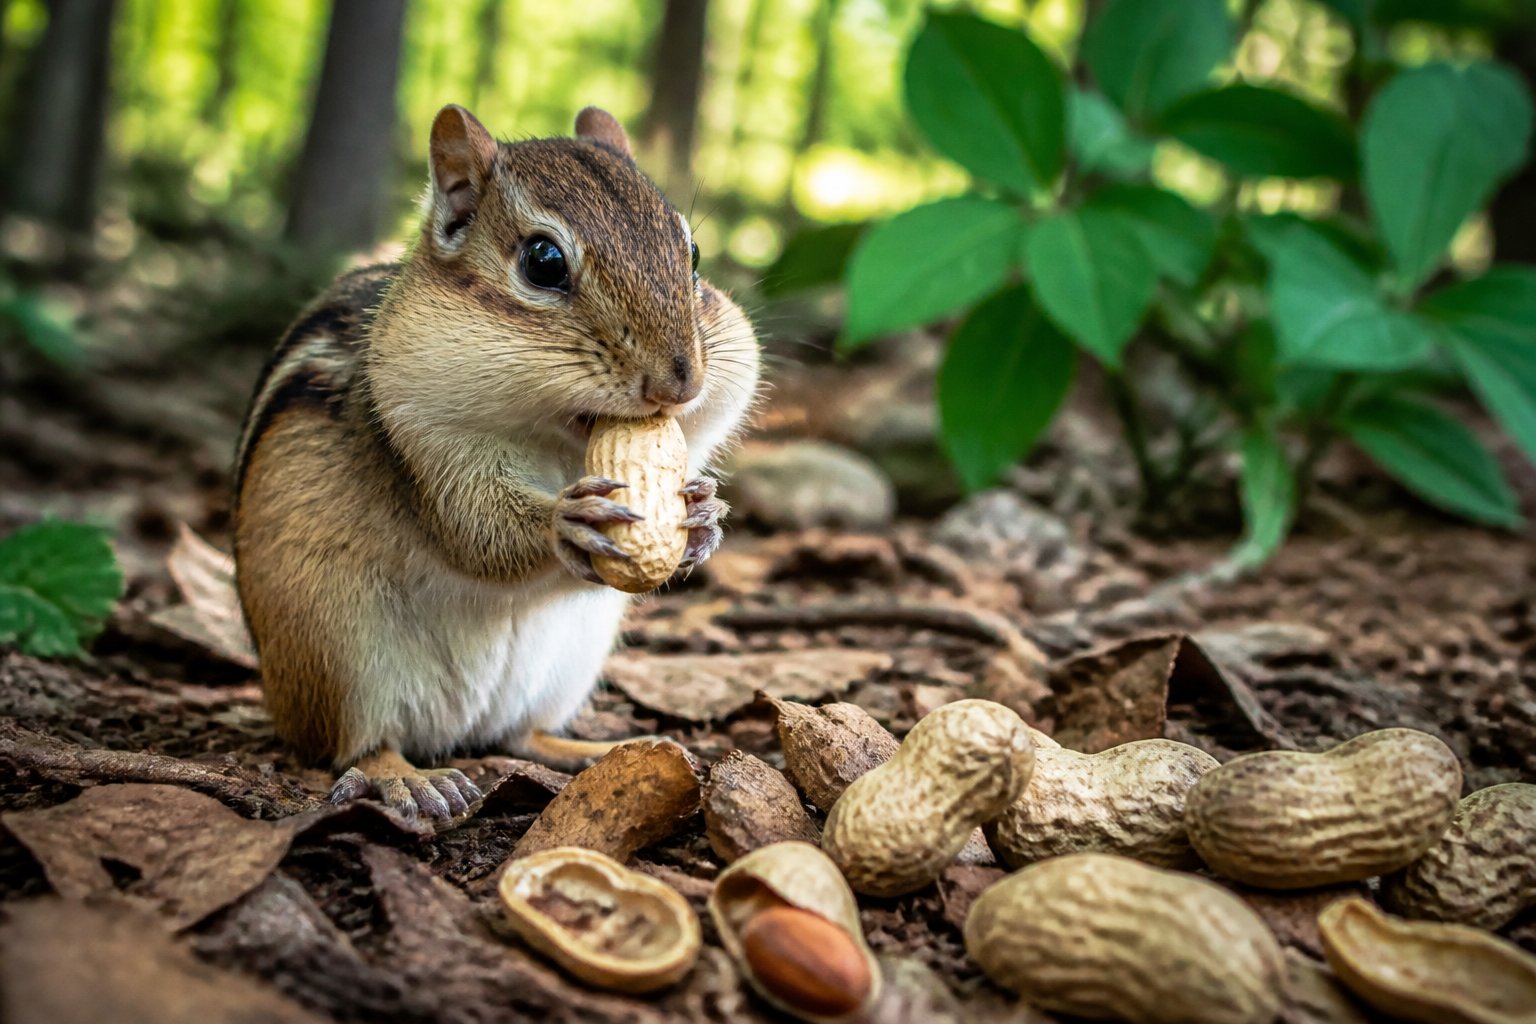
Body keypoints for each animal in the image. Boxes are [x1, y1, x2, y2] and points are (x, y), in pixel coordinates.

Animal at [232, 105, 760, 821]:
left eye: (695, 256)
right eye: (544, 261)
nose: (681, 382)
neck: (558, 441)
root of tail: (456, 729)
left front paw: (703, 515)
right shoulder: (422, 435)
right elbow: (475, 533)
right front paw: (565, 523)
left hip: (566, 668)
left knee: (519, 734)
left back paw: (593, 747)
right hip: (335, 650)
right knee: (356, 746)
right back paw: (409, 779)